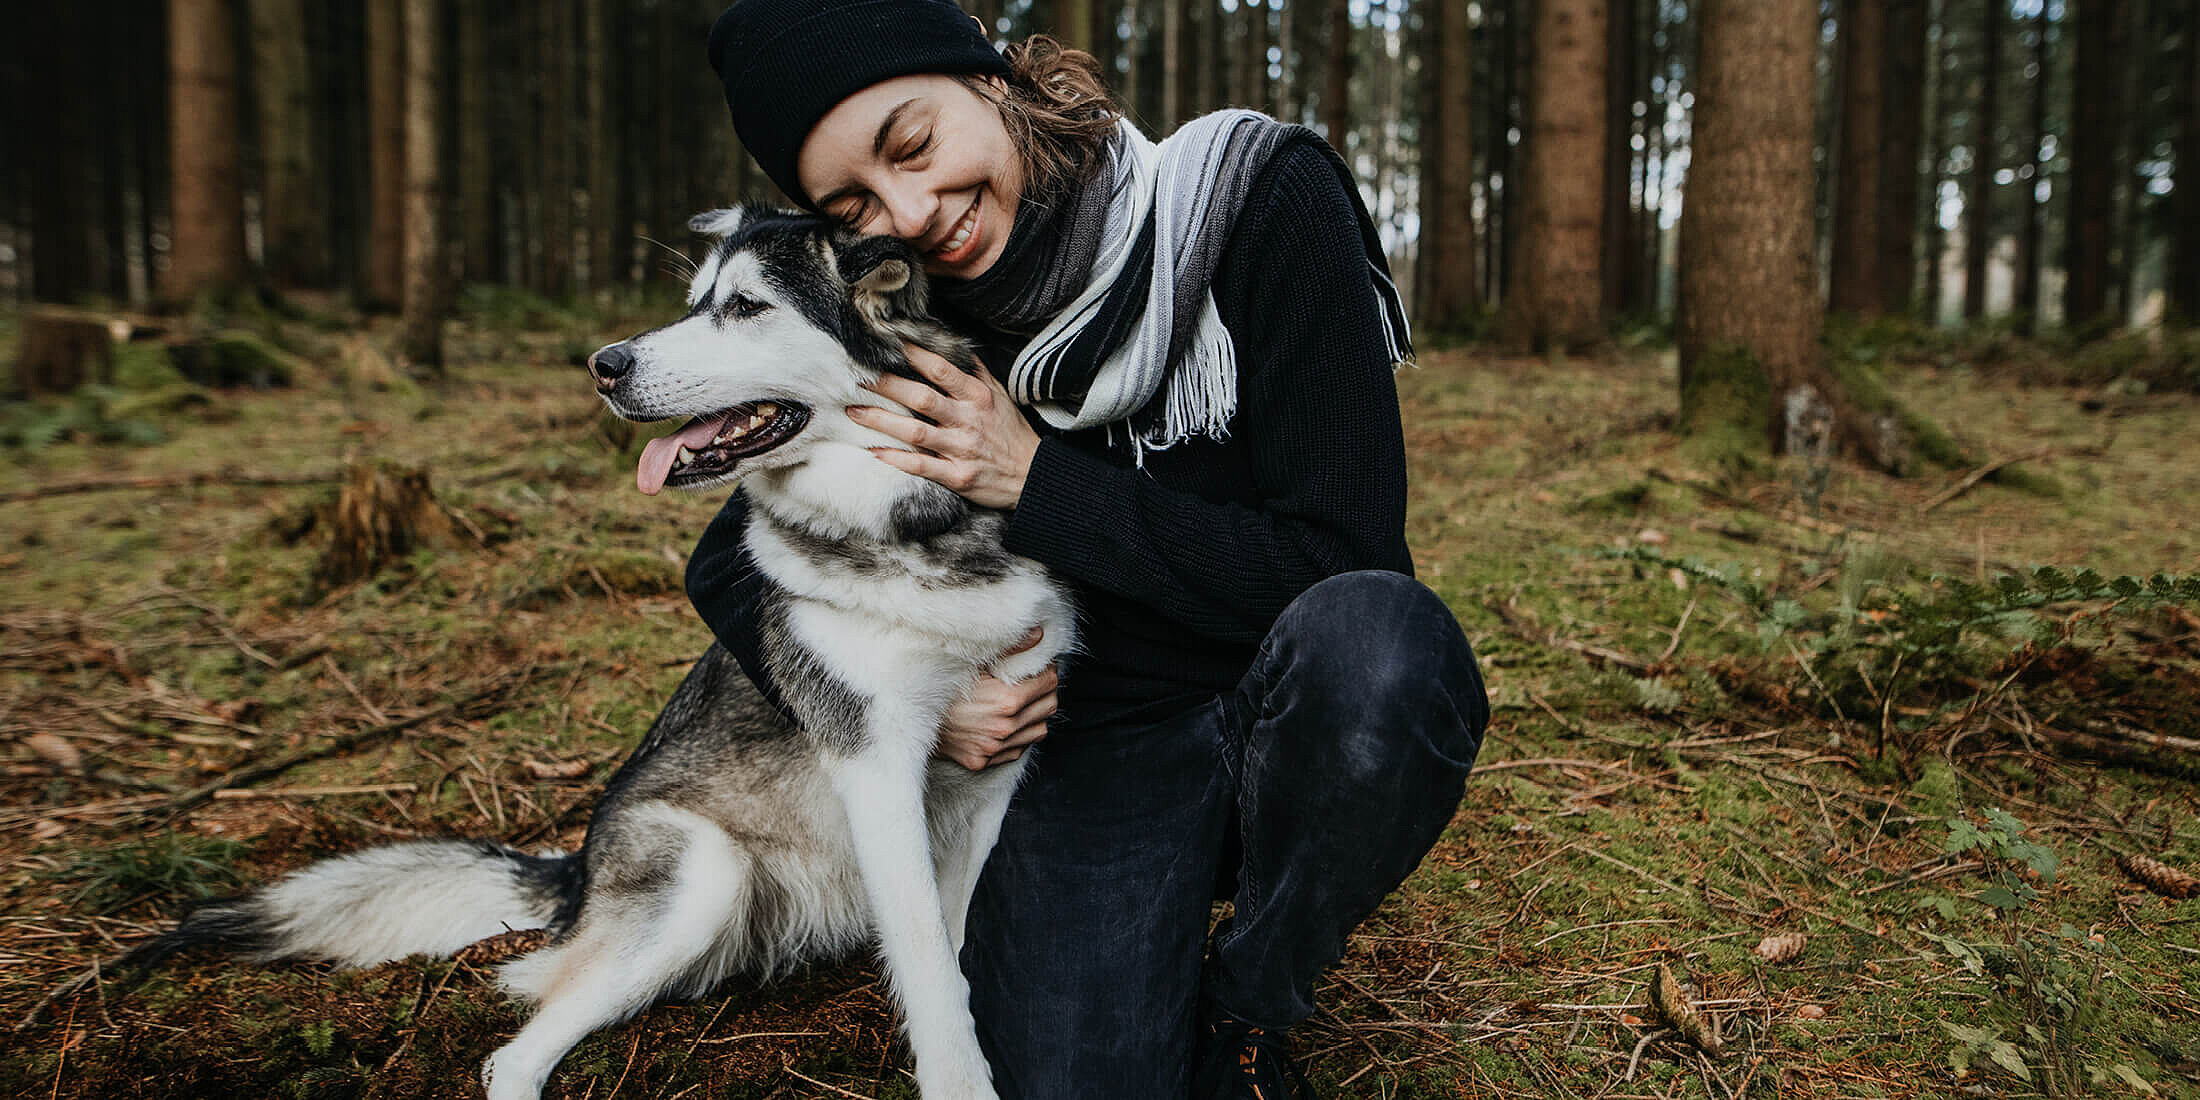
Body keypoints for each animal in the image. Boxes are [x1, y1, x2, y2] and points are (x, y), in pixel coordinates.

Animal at [116, 207, 1078, 1100]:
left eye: (745, 306)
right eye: (693, 302)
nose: (604, 365)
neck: (922, 531)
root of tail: (578, 868)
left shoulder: (993, 774)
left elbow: (951, 955)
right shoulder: (878, 768)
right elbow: (931, 976)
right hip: (703, 877)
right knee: (513, 1055)